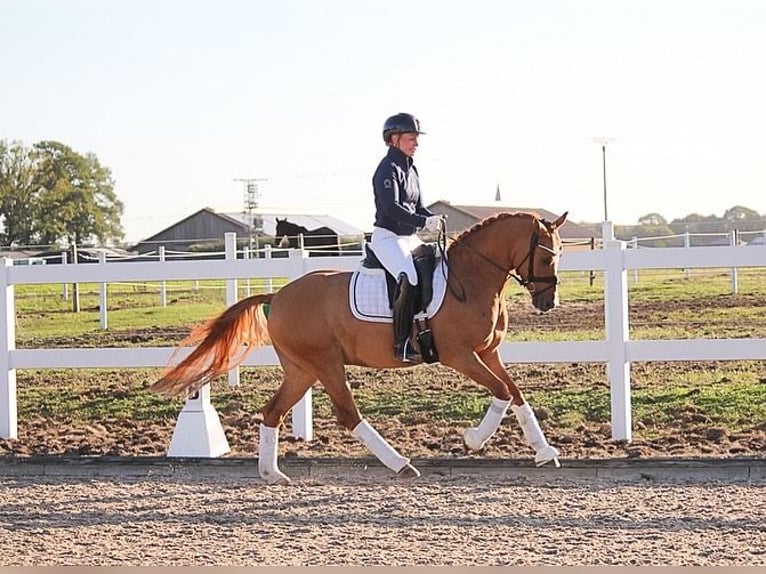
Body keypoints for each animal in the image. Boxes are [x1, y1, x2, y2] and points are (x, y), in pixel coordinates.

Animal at [152, 212, 568, 486]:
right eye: (547, 256)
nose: (548, 303)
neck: (471, 278)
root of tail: (279, 296)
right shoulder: (460, 356)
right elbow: (501, 393)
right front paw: (473, 439)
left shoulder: (488, 353)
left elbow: (514, 392)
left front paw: (544, 452)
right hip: (325, 364)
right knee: (348, 415)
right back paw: (400, 463)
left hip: (302, 370)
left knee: (273, 412)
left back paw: (272, 473)